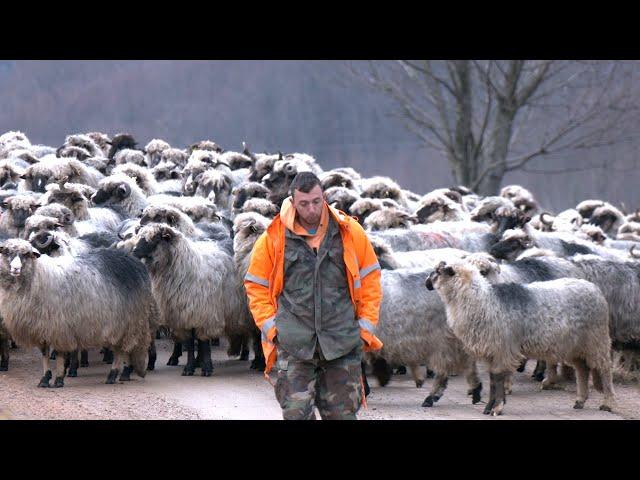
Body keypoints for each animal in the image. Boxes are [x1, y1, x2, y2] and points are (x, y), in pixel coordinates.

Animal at [0, 239, 156, 386]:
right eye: (6, 252)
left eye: (26, 254)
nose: (15, 268)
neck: (37, 277)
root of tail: (135, 262)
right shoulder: (42, 327)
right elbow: (44, 354)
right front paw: (45, 378)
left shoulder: (60, 327)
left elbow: (60, 353)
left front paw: (59, 378)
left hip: (128, 320)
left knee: (121, 349)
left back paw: (115, 374)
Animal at [131, 223, 244, 376]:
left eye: (155, 238)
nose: (134, 251)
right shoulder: (184, 314)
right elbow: (190, 342)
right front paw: (190, 367)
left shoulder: (204, 314)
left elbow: (203, 342)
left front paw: (206, 367)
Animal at [424, 258, 616, 416]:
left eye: (437, 272)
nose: (426, 283)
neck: (482, 301)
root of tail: (593, 287)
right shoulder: (491, 351)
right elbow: (493, 380)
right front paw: (489, 407)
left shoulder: (502, 349)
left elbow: (499, 378)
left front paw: (497, 407)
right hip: (576, 345)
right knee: (582, 369)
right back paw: (580, 401)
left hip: (596, 339)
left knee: (605, 369)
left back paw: (608, 403)